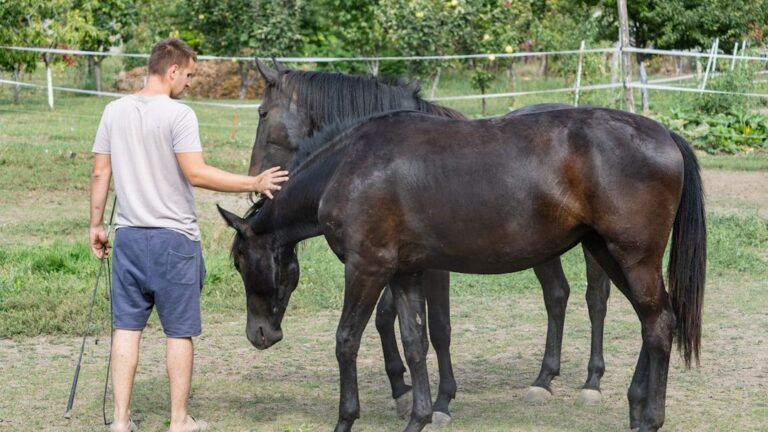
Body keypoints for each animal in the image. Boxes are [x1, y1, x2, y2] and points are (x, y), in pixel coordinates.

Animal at [222, 108, 706, 432]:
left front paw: (346, 419)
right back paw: (634, 407)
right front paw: (420, 415)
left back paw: (649, 418)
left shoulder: (367, 269)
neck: (351, 166)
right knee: (653, 321)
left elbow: (346, 341)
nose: (259, 335)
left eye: (240, 262)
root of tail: (663, 133)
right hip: (609, 253)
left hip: (633, 258)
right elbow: (415, 343)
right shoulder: (406, 274)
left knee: (658, 324)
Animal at [248, 58, 612, 414]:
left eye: (262, 112)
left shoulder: (429, 265)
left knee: (595, 298)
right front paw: (402, 387)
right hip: (542, 251)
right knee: (556, 295)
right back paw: (543, 379)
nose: (256, 182)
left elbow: (434, 327)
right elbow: (388, 319)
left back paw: (592, 383)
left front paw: (437, 399)